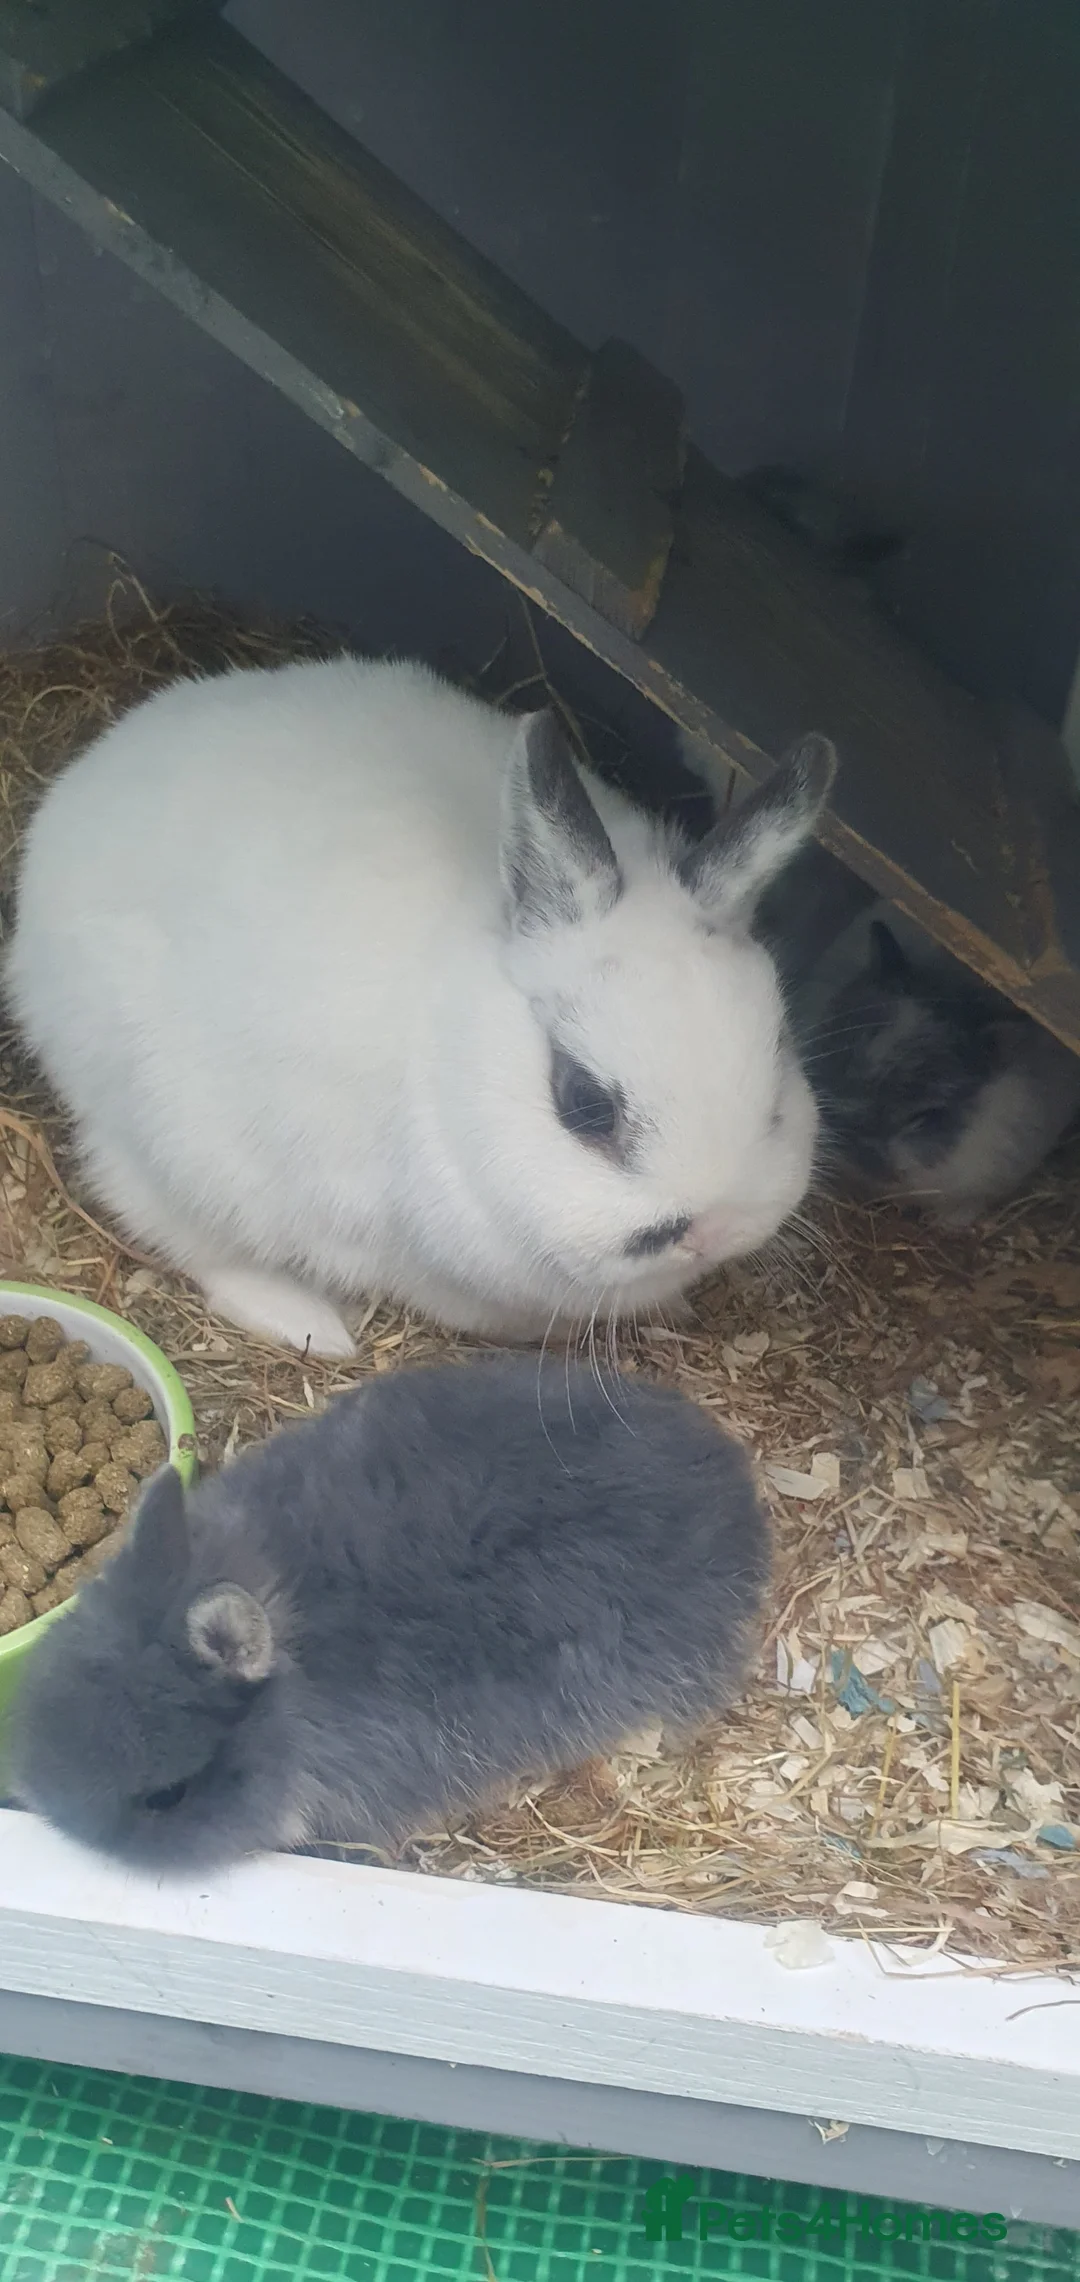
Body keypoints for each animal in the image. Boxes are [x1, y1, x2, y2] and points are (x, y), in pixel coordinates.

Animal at [6, 654, 836, 1355]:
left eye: (776, 1088)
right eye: (585, 1104)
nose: (713, 1229)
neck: (447, 1052)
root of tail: (71, 803)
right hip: (170, 1142)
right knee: (180, 1232)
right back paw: (312, 1326)